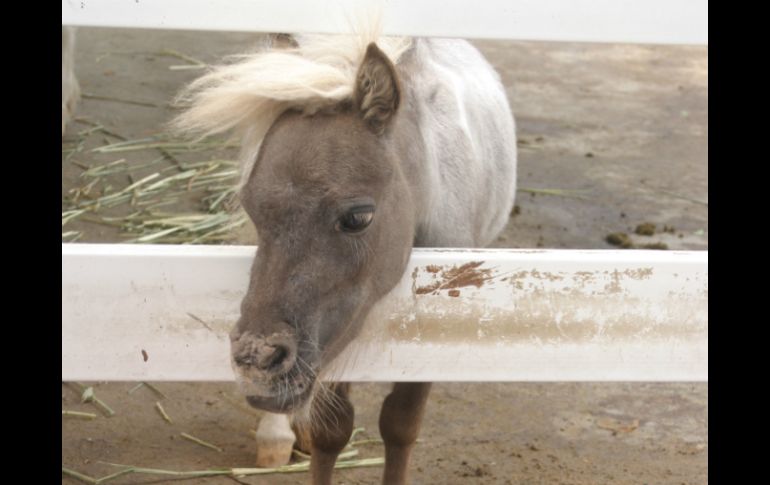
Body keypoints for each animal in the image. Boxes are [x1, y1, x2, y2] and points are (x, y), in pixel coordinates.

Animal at [173, 27, 517, 485]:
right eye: (251, 206)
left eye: (358, 216)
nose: (257, 360)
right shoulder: (340, 328)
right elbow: (332, 431)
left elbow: (400, 426)